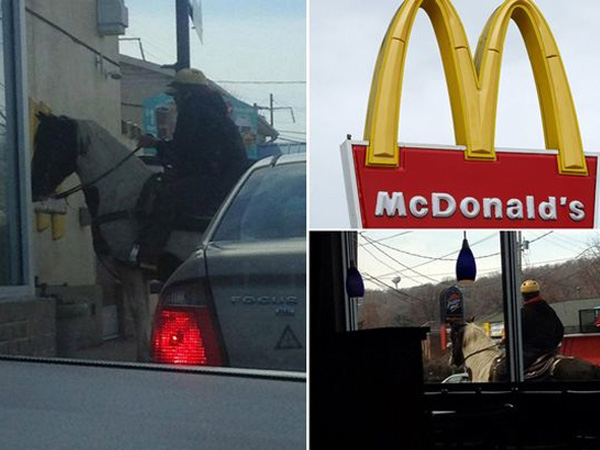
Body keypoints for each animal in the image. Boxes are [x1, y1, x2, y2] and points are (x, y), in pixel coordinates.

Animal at [29, 113, 204, 362]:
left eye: (56, 141)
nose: (35, 186)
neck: (123, 195)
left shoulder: (128, 269)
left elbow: (140, 316)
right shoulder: (139, 275)